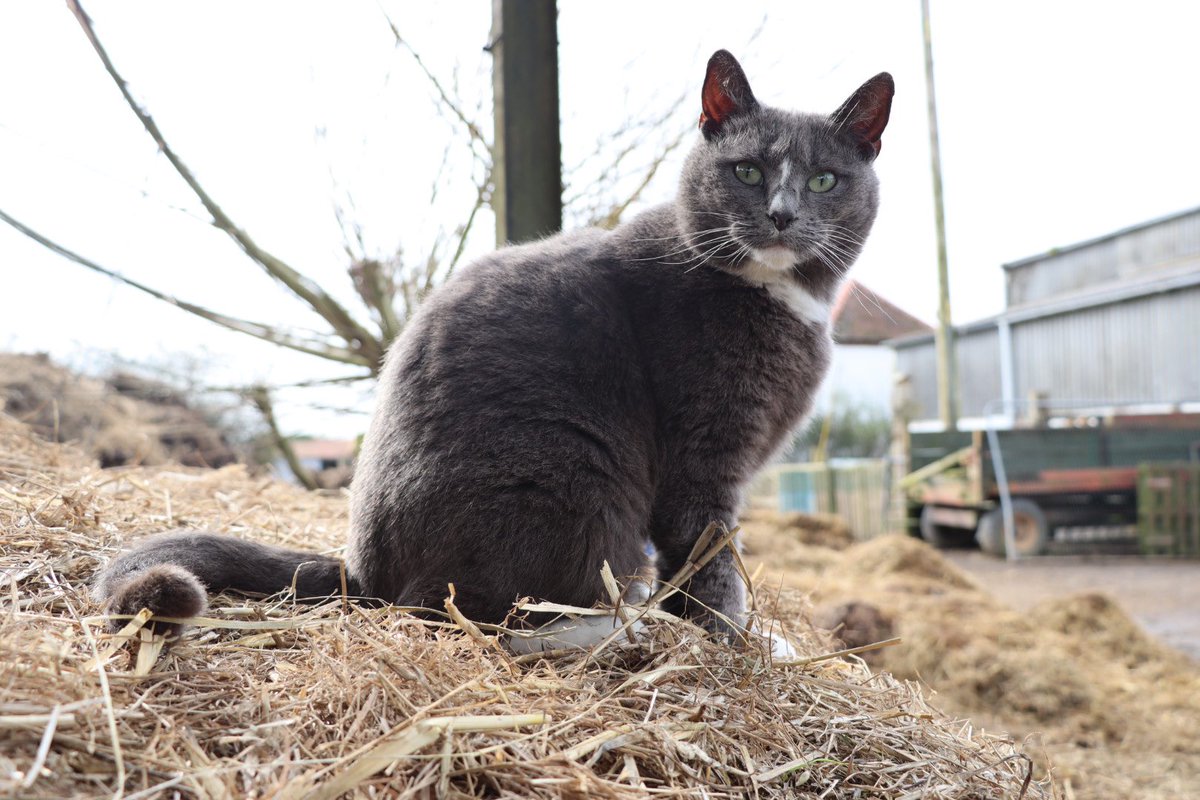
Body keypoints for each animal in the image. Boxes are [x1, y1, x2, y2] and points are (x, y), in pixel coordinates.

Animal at [93, 51, 892, 638]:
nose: (783, 214)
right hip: (572, 484)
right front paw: (733, 640)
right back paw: (615, 627)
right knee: (498, 609)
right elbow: (710, 554)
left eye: (825, 180)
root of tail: (365, 569)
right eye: (747, 170)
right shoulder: (704, 453)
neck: (779, 295)